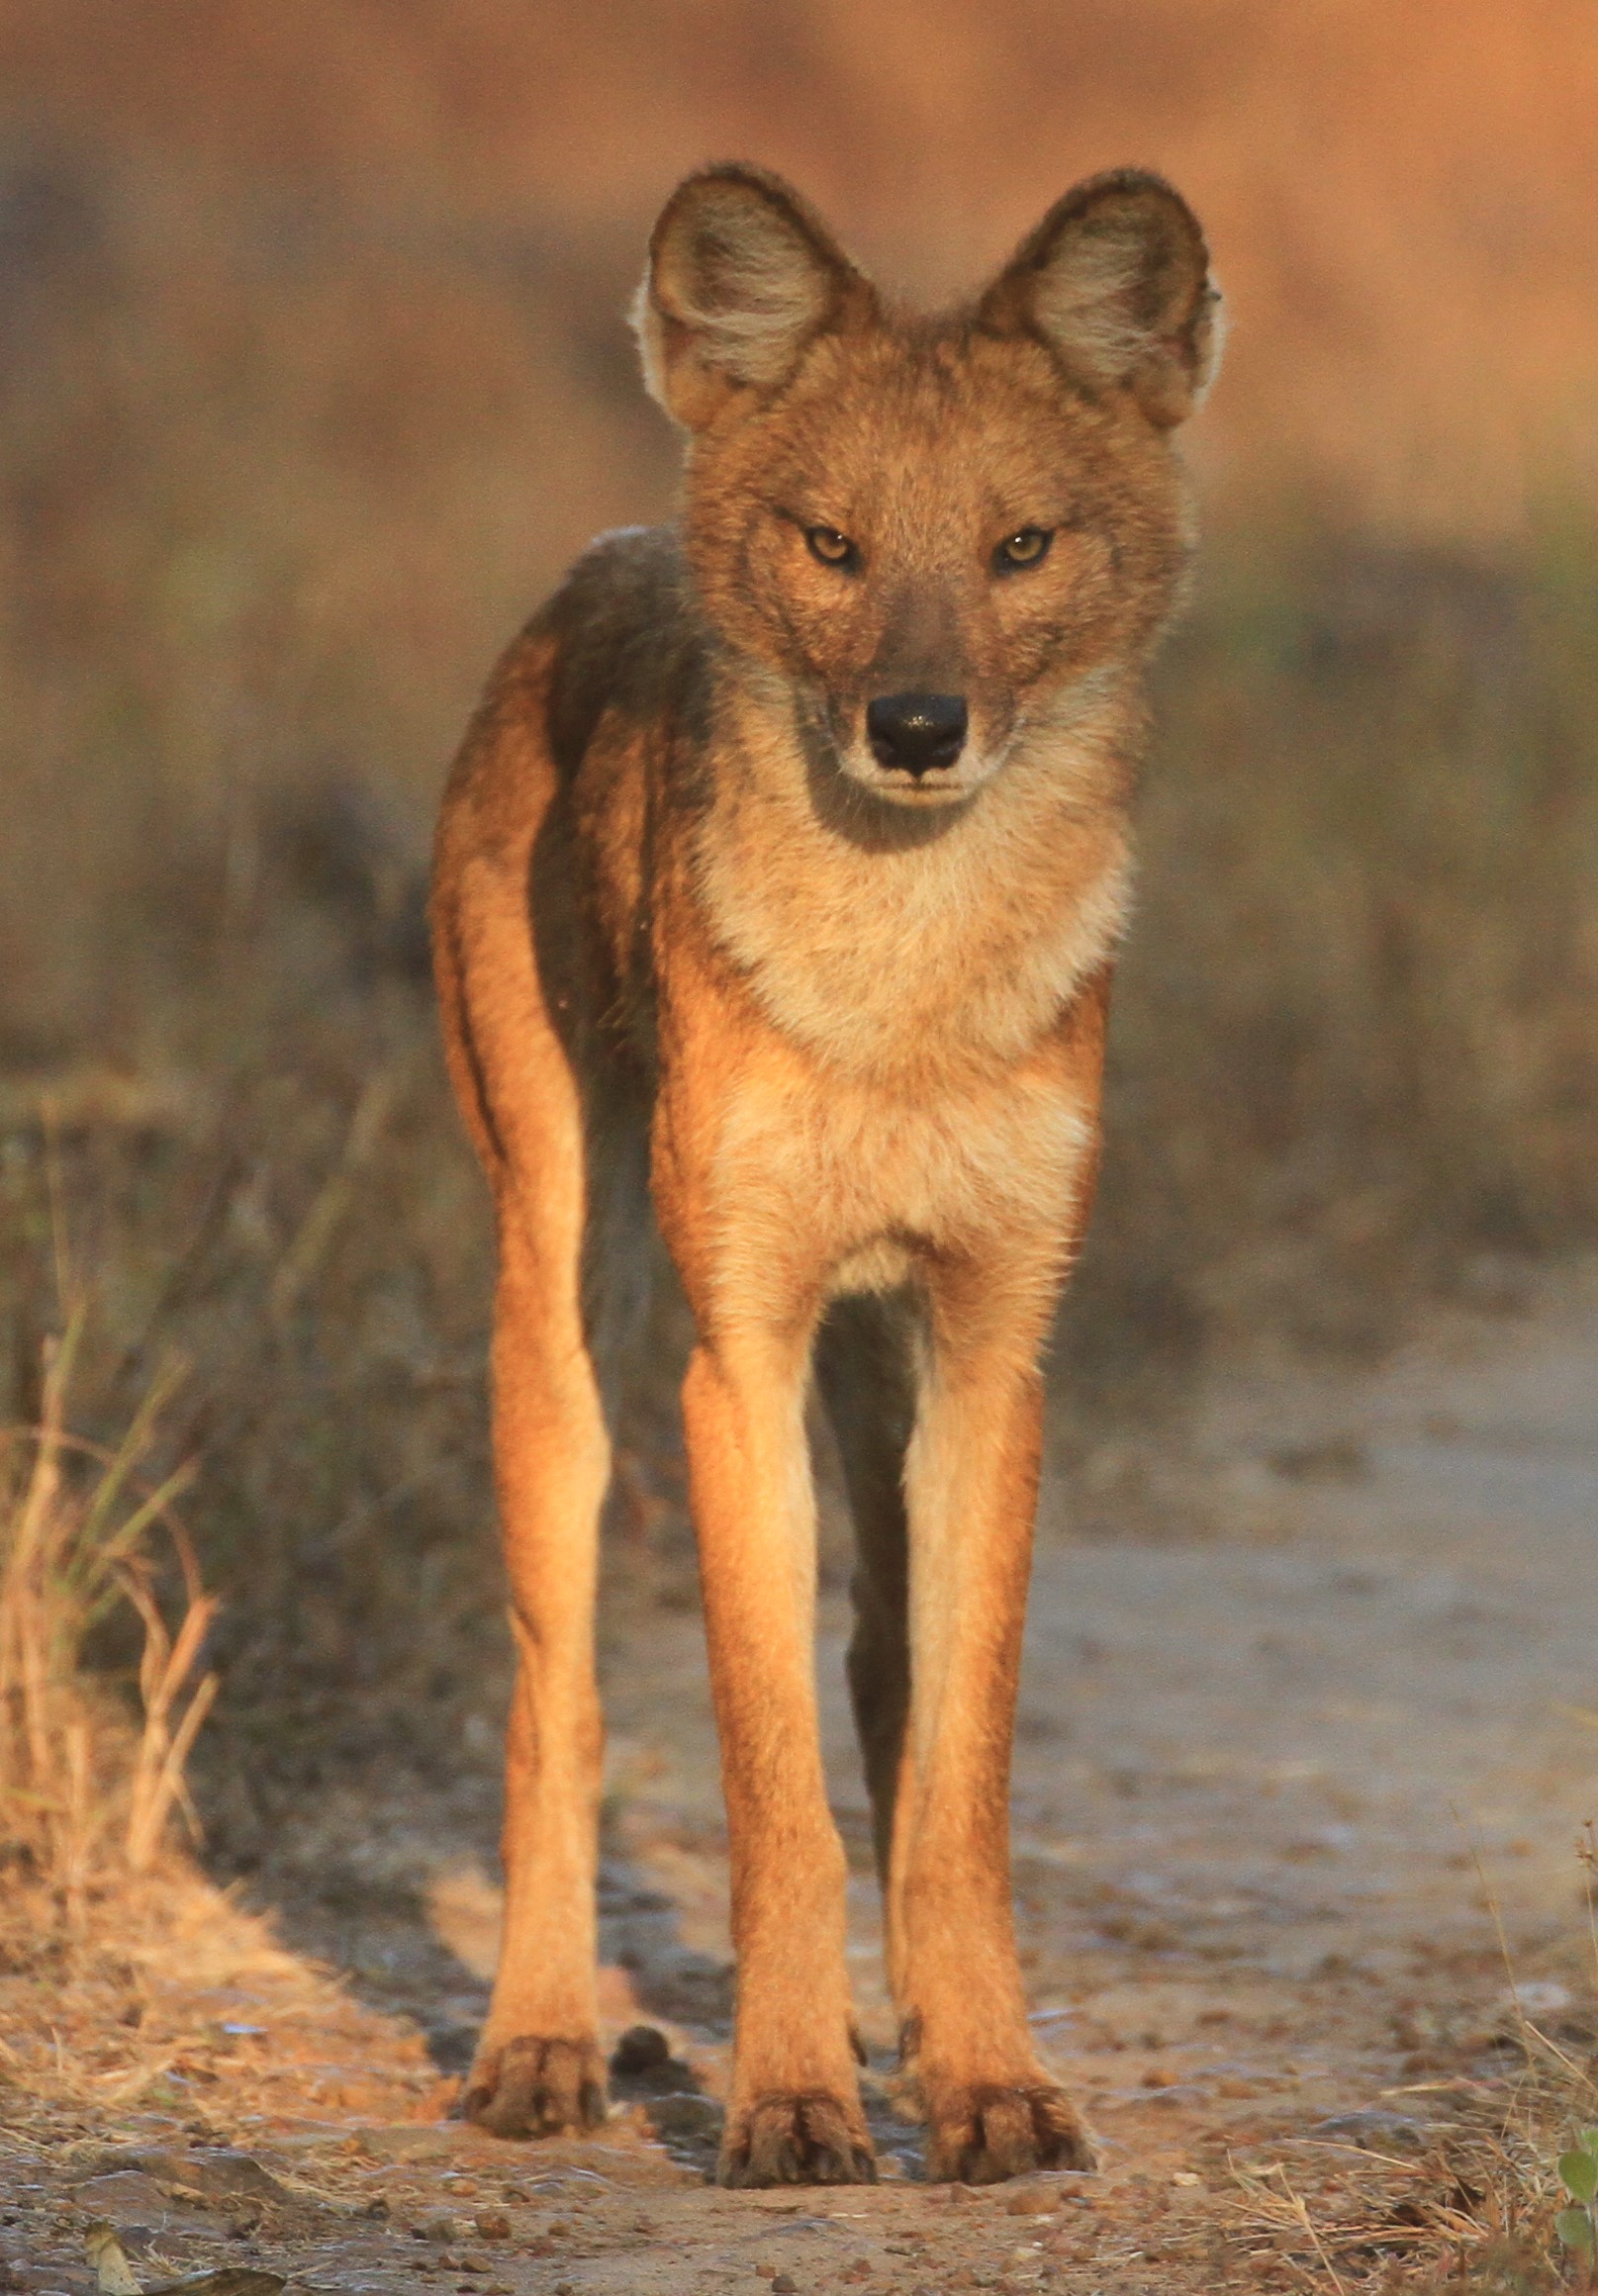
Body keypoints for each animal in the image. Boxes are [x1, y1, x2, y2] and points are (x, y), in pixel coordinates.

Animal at [431, 166, 1221, 2185]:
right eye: (832, 545)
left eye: (1020, 546)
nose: (917, 725)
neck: (902, 997)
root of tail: (608, 549)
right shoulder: (739, 1357)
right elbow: (764, 1782)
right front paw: (789, 2095)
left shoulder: (992, 1352)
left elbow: (956, 1776)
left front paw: (988, 2079)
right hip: (559, 1301)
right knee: (553, 1699)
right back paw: (539, 2039)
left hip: (874, 1384)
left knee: (880, 1679)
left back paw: (918, 2029)